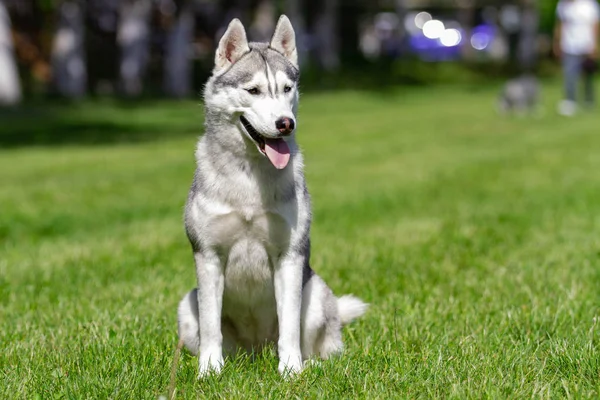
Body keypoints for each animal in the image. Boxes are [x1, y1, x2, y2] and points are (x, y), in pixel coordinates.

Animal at [176, 15, 368, 378]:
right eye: (253, 90)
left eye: (287, 89)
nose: (285, 123)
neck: (250, 176)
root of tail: (256, 352)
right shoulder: (208, 255)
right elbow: (211, 326)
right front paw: (209, 371)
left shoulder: (290, 256)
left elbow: (289, 323)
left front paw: (290, 370)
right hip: (186, 306)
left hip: (316, 295)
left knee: (322, 346)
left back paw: (308, 364)